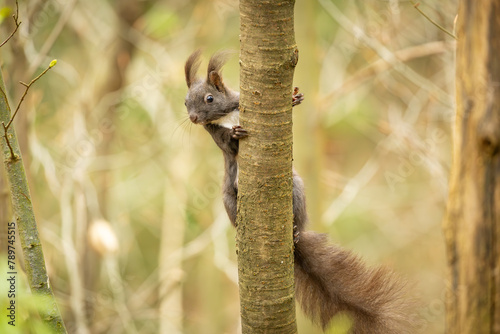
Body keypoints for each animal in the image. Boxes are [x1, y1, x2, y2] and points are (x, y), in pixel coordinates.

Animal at [184, 50, 414, 334]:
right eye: (185, 102)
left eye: (209, 98)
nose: (194, 118)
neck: (225, 116)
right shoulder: (215, 134)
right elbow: (227, 144)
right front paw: (235, 133)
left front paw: (294, 99)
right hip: (229, 200)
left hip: (297, 190)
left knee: (299, 222)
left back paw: (294, 231)